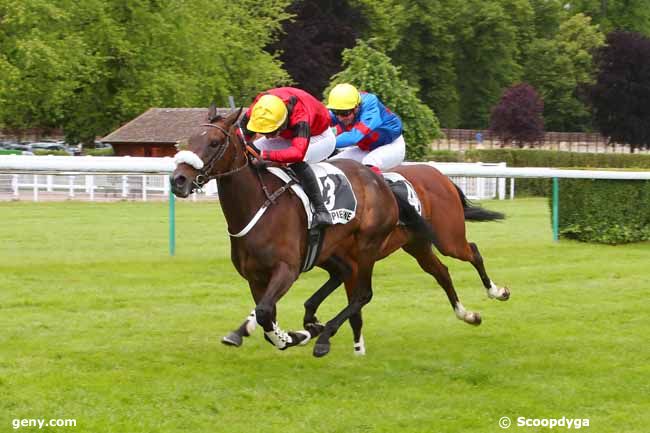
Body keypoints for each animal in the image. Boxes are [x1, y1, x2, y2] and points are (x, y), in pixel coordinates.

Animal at [170, 106, 438, 356]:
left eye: (214, 143)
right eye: (190, 140)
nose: (178, 180)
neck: (259, 206)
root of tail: (380, 180)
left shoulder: (287, 269)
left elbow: (264, 311)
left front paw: (290, 336)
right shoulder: (255, 277)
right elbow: (266, 316)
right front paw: (290, 335)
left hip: (367, 246)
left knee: (363, 294)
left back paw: (324, 337)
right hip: (330, 249)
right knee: (344, 274)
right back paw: (314, 324)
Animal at [225, 162, 508, 354]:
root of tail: (440, 175)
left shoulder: (348, 261)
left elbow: (356, 300)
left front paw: (328, 337)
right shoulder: (336, 261)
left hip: (448, 239)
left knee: (472, 251)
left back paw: (496, 291)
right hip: (418, 245)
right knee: (442, 272)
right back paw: (467, 314)